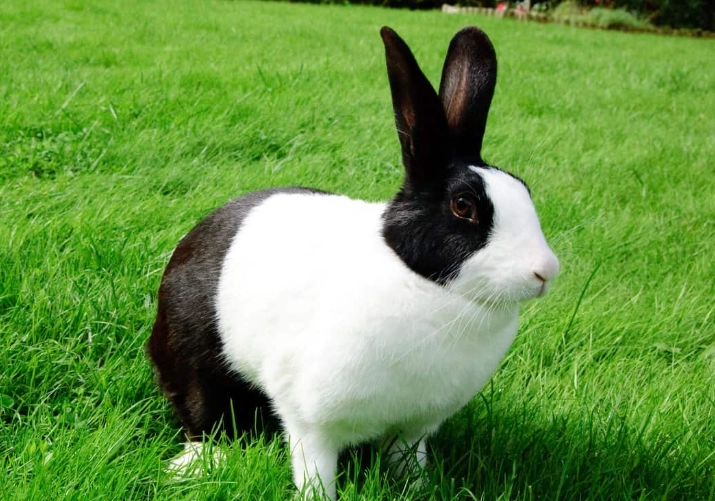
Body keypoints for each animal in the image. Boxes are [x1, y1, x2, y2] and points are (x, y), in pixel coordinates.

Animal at [147, 25, 559, 499]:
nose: (546, 271)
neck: (425, 285)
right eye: (464, 206)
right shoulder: (311, 423)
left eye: (524, 188)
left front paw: (418, 489)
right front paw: (318, 497)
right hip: (196, 361)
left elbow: (407, 460)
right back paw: (196, 466)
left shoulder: (414, 427)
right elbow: (315, 469)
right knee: (204, 417)